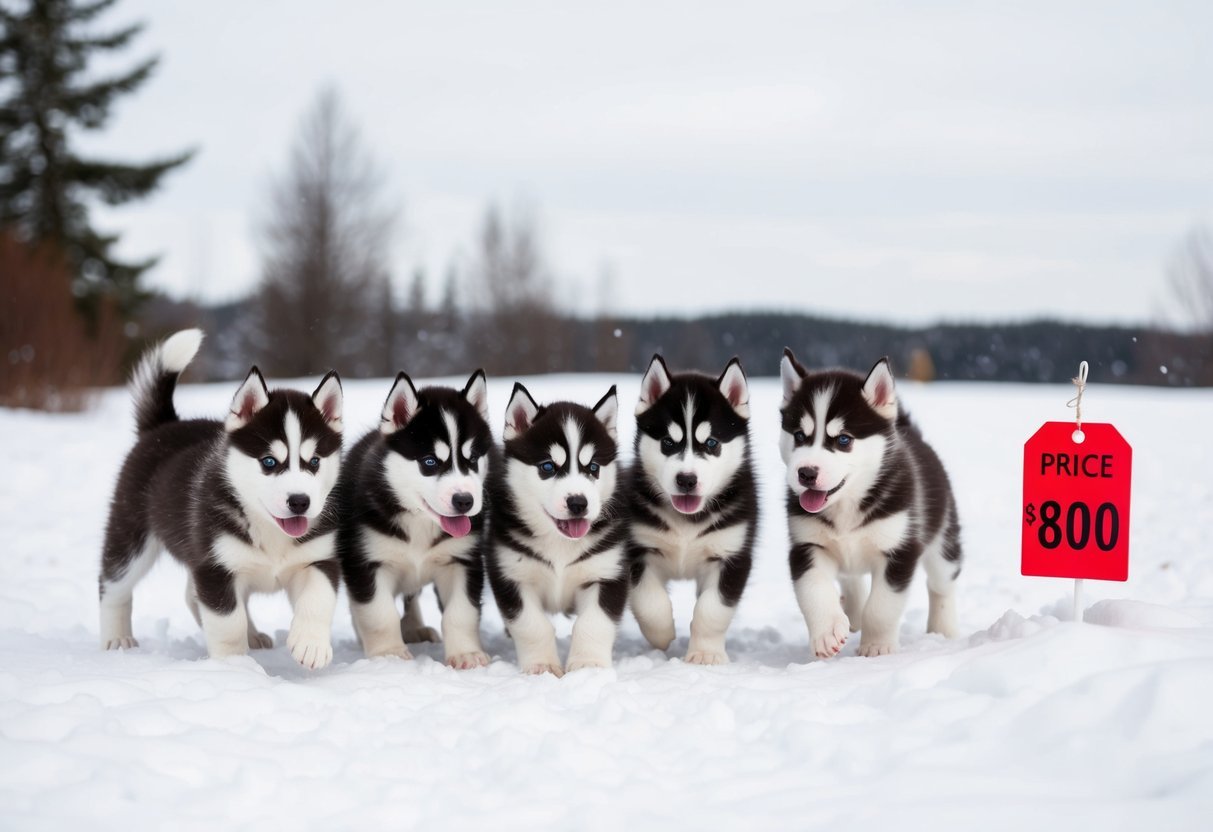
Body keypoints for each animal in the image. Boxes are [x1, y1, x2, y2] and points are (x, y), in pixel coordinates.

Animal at [97, 329, 346, 669]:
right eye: (269, 462)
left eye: (315, 461)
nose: (300, 502)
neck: (269, 530)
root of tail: (166, 425)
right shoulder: (214, 567)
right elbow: (228, 622)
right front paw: (233, 665)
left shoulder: (319, 557)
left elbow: (318, 597)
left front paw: (311, 644)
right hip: (132, 533)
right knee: (114, 583)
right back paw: (117, 638)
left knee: (195, 596)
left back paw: (254, 635)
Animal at [337, 371, 492, 669]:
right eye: (430, 462)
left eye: (473, 459)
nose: (465, 501)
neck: (420, 522)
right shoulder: (366, 561)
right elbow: (379, 612)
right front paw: (389, 654)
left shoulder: (462, 560)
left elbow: (460, 612)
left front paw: (465, 653)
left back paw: (414, 627)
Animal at [480, 385, 625, 679]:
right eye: (548, 467)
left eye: (593, 468)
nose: (579, 503)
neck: (560, 543)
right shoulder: (511, 574)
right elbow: (532, 625)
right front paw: (542, 666)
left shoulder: (607, 572)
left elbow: (593, 623)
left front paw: (589, 666)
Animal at [625, 356, 756, 664]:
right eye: (667, 443)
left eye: (711, 443)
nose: (686, 480)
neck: (686, 522)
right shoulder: (638, 550)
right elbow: (650, 601)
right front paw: (662, 635)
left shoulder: (732, 555)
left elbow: (712, 609)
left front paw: (705, 654)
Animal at [781, 349, 960, 659]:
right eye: (800, 436)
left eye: (843, 440)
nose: (806, 473)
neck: (847, 505)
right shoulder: (807, 545)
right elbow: (814, 589)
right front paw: (826, 632)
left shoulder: (900, 550)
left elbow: (882, 607)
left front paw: (876, 647)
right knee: (851, 579)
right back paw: (852, 612)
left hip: (941, 538)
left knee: (942, 583)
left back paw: (944, 629)